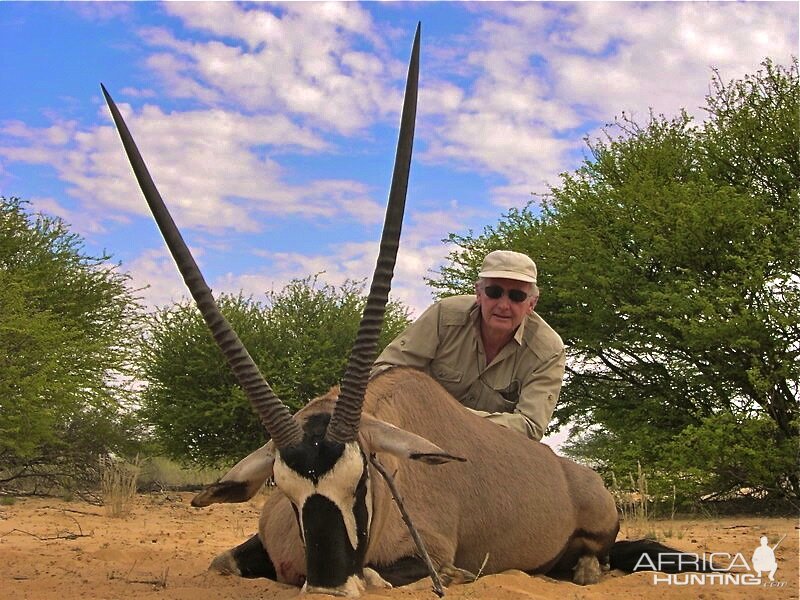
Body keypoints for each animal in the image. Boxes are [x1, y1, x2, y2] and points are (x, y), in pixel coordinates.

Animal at [104, 23, 708, 596]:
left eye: (364, 479)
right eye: (284, 489)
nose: (329, 584)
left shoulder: (428, 554)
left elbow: (388, 574)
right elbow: (223, 562)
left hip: (597, 523)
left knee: (598, 557)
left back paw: (581, 569)